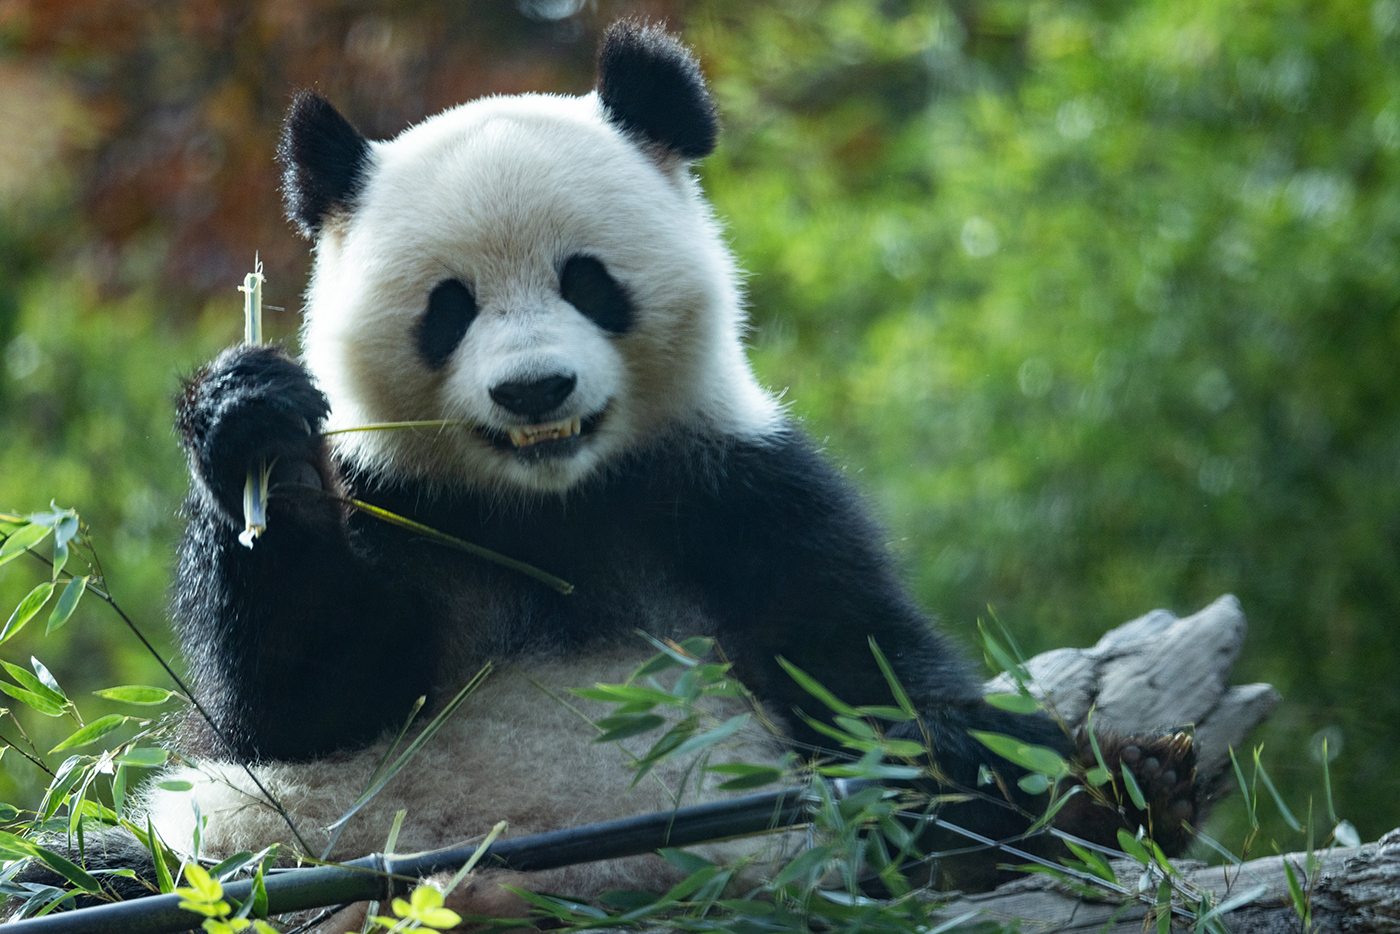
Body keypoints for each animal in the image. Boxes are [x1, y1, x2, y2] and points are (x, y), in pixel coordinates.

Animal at [128, 18, 1192, 929]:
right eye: (449, 308)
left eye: (587, 280)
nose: (535, 390)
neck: (551, 505)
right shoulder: (402, 502)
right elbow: (296, 702)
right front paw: (260, 436)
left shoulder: (736, 493)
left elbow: (862, 672)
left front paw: (1035, 765)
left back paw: (1125, 789)